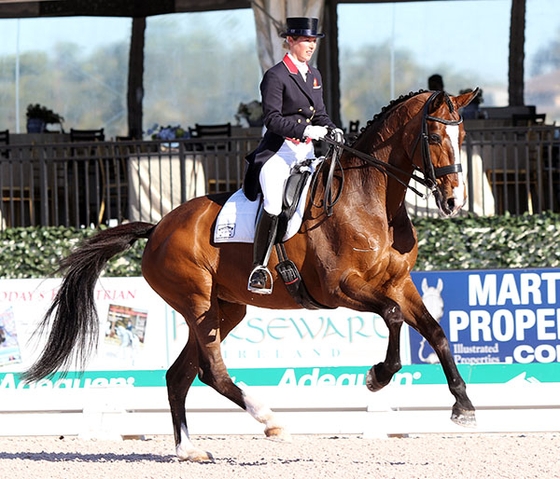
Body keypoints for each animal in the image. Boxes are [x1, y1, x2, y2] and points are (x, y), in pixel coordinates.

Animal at [24, 89, 480, 462]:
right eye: (434, 138)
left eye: (462, 138)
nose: (454, 202)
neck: (370, 199)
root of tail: (158, 228)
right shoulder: (341, 288)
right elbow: (393, 317)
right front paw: (377, 376)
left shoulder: (399, 284)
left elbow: (436, 332)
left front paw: (464, 407)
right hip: (198, 303)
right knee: (211, 371)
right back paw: (270, 420)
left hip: (226, 309)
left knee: (180, 374)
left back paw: (189, 450)